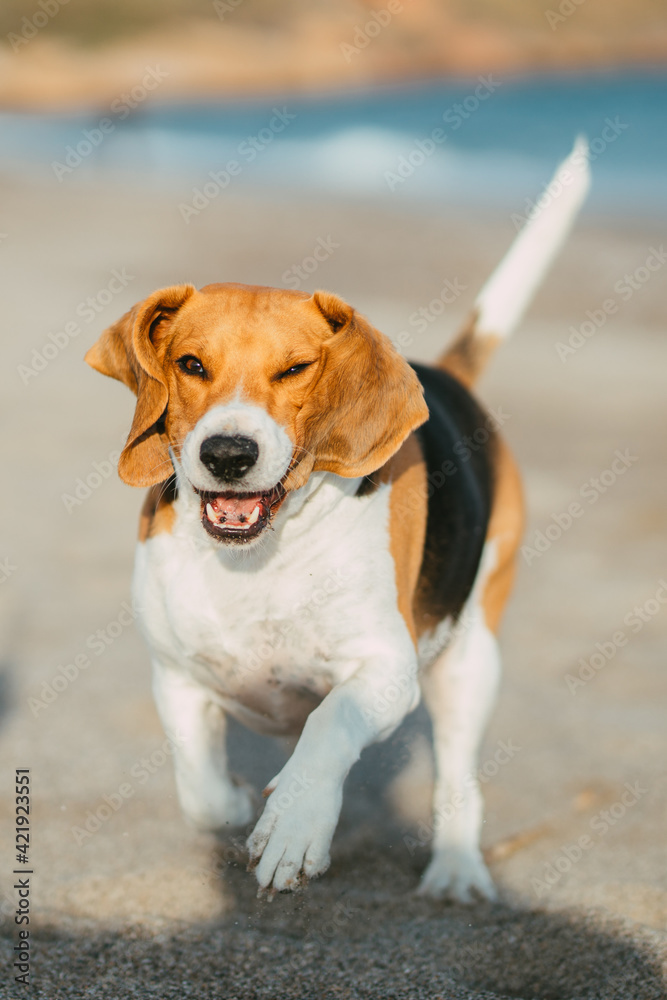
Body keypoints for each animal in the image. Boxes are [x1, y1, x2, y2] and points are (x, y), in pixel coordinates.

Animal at [85, 139, 588, 900]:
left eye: (295, 369)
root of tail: (446, 377)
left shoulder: (385, 670)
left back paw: (456, 868)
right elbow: (200, 792)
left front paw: (293, 823)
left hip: (471, 657)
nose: (227, 453)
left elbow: (327, 726)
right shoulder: (175, 675)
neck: (257, 557)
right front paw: (237, 800)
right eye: (191, 364)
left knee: (456, 778)